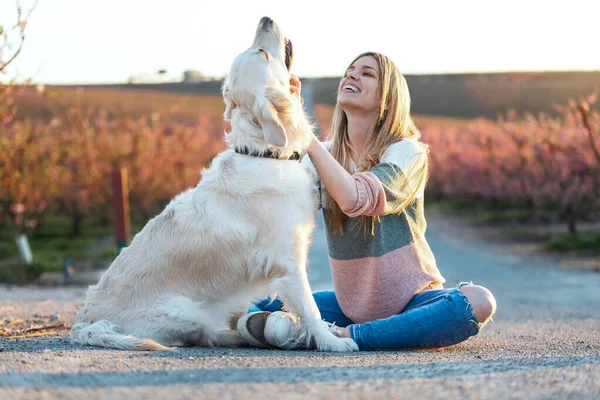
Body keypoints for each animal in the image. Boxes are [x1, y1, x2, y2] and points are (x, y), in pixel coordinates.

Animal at [71, 17, 360, 352]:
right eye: (262, 54)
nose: (265, 18)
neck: (265, 154)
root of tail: (83, 322)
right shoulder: (287, 259)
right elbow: (309, 307)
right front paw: (330, 341)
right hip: (184, 310)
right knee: (200, 335)